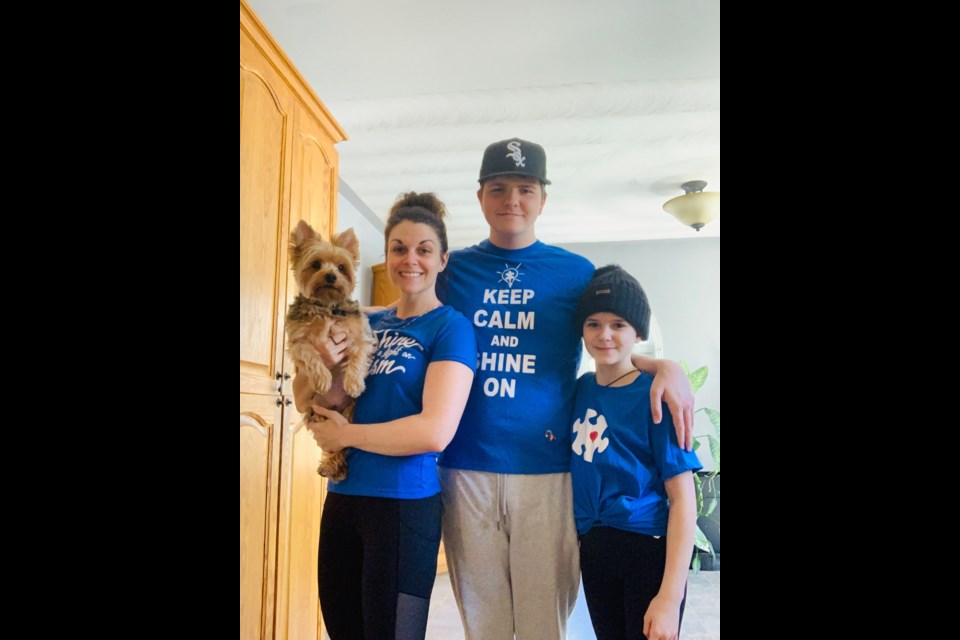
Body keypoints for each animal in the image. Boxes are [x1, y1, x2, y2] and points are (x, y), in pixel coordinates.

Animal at [284, 220, 376, 480]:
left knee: (341, 445)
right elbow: (311, 355)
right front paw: (323, 379)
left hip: (348, 413)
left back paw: (332, 466)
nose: (331, 275)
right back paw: (329, 466)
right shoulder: (298, 341)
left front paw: (353, 383)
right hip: (319, 415)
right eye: (316, 264)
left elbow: (358, 356)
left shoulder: (360, 334)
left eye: (341, 267)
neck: (326, 306)